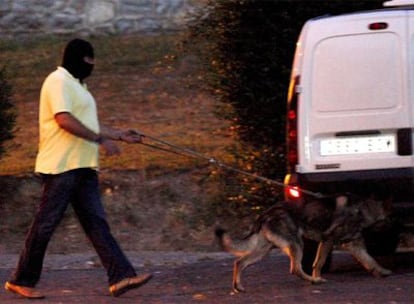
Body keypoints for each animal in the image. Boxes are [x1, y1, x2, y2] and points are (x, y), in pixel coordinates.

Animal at [215, 195, 392, 292]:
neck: (363, 209)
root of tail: (266, 213)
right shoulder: (327, 240)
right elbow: (318, 263)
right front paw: (317, 277)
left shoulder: (355, 246)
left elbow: (370, 260)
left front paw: (382, 271)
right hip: (297, 244)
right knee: (295, 269)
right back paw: (314, 281)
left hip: (263, 252)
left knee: (239, 262)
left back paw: (238, 287)